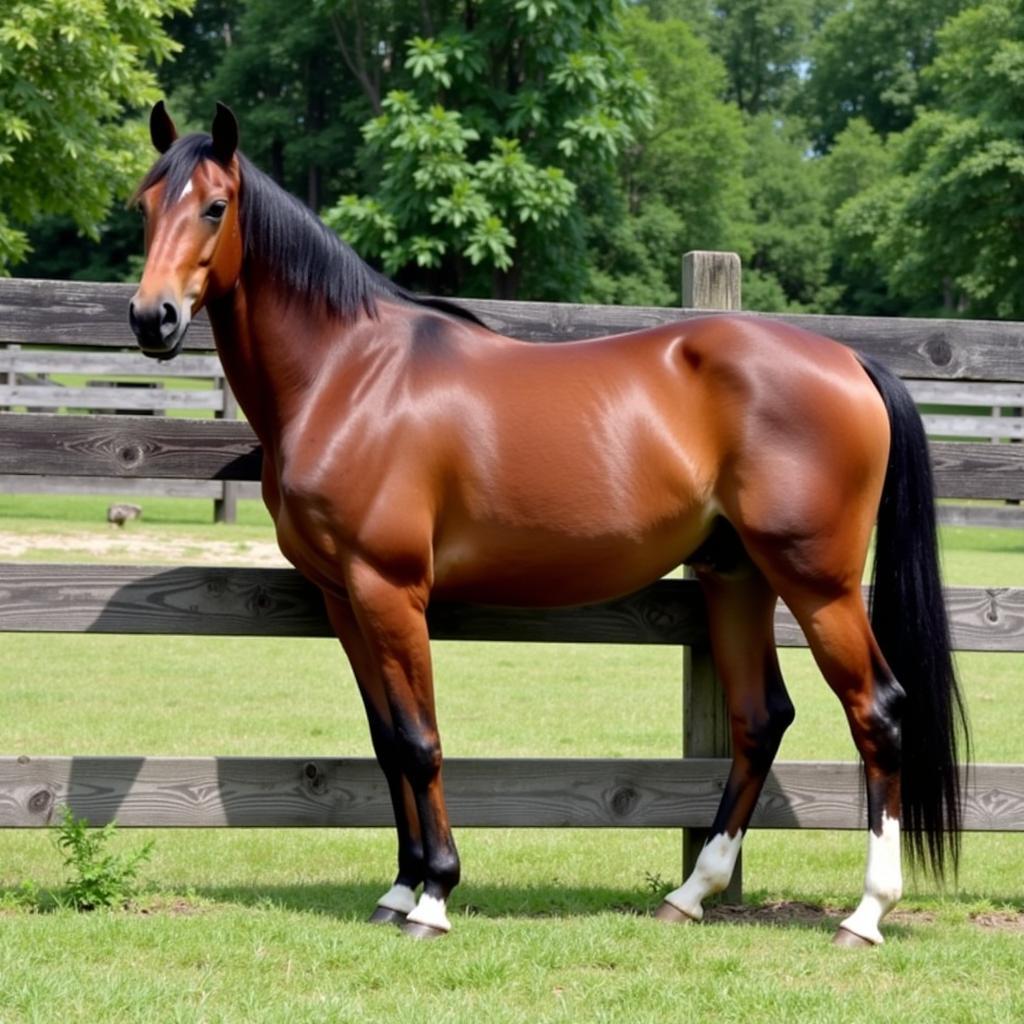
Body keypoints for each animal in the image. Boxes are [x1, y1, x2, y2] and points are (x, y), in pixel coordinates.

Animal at [130, 103, 966, 942]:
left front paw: (434, 896)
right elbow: (386, 741)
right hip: (737, 575)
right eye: (145, 206)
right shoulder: (344, 596)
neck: (351, 374)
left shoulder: (389, 587)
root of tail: (851, 362)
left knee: (877, 712)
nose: (151, 317)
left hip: (818, 582)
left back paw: (866, 913)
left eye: (215, 206)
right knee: (761, 719)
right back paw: (690, 894)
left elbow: (419, 741)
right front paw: (398, 889)